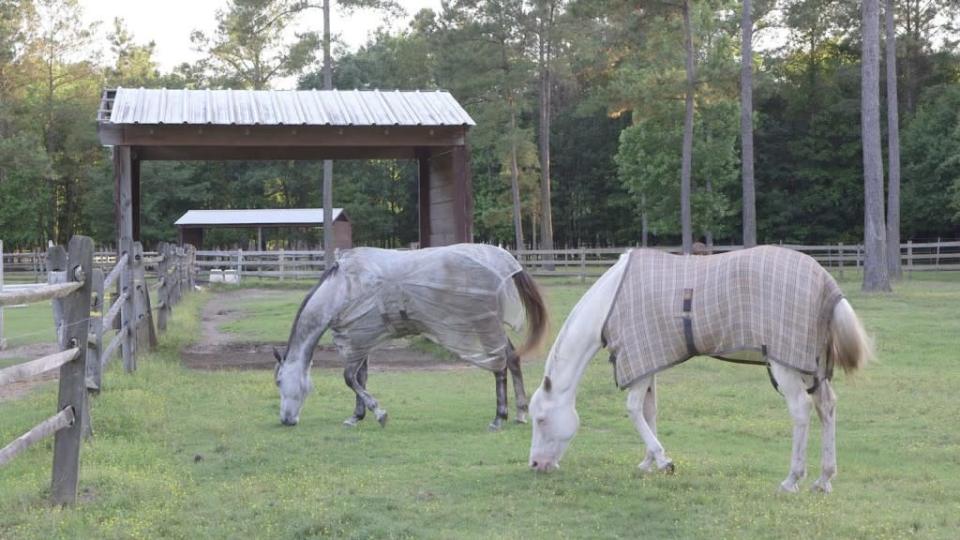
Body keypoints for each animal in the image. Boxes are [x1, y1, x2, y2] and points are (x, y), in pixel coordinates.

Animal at [528, 250, 872, 494]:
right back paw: (824, 479)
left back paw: (792, 479)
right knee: (826, 407)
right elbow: (650, 410)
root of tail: (824, 279)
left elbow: (634, 409)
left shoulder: (637, 361)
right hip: (813, 368)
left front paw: (663, 461)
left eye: (541, 420)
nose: (535, 464)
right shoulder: (649, 362)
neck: (611, 300)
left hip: (786, 365)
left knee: (801, 410)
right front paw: (648, 461)